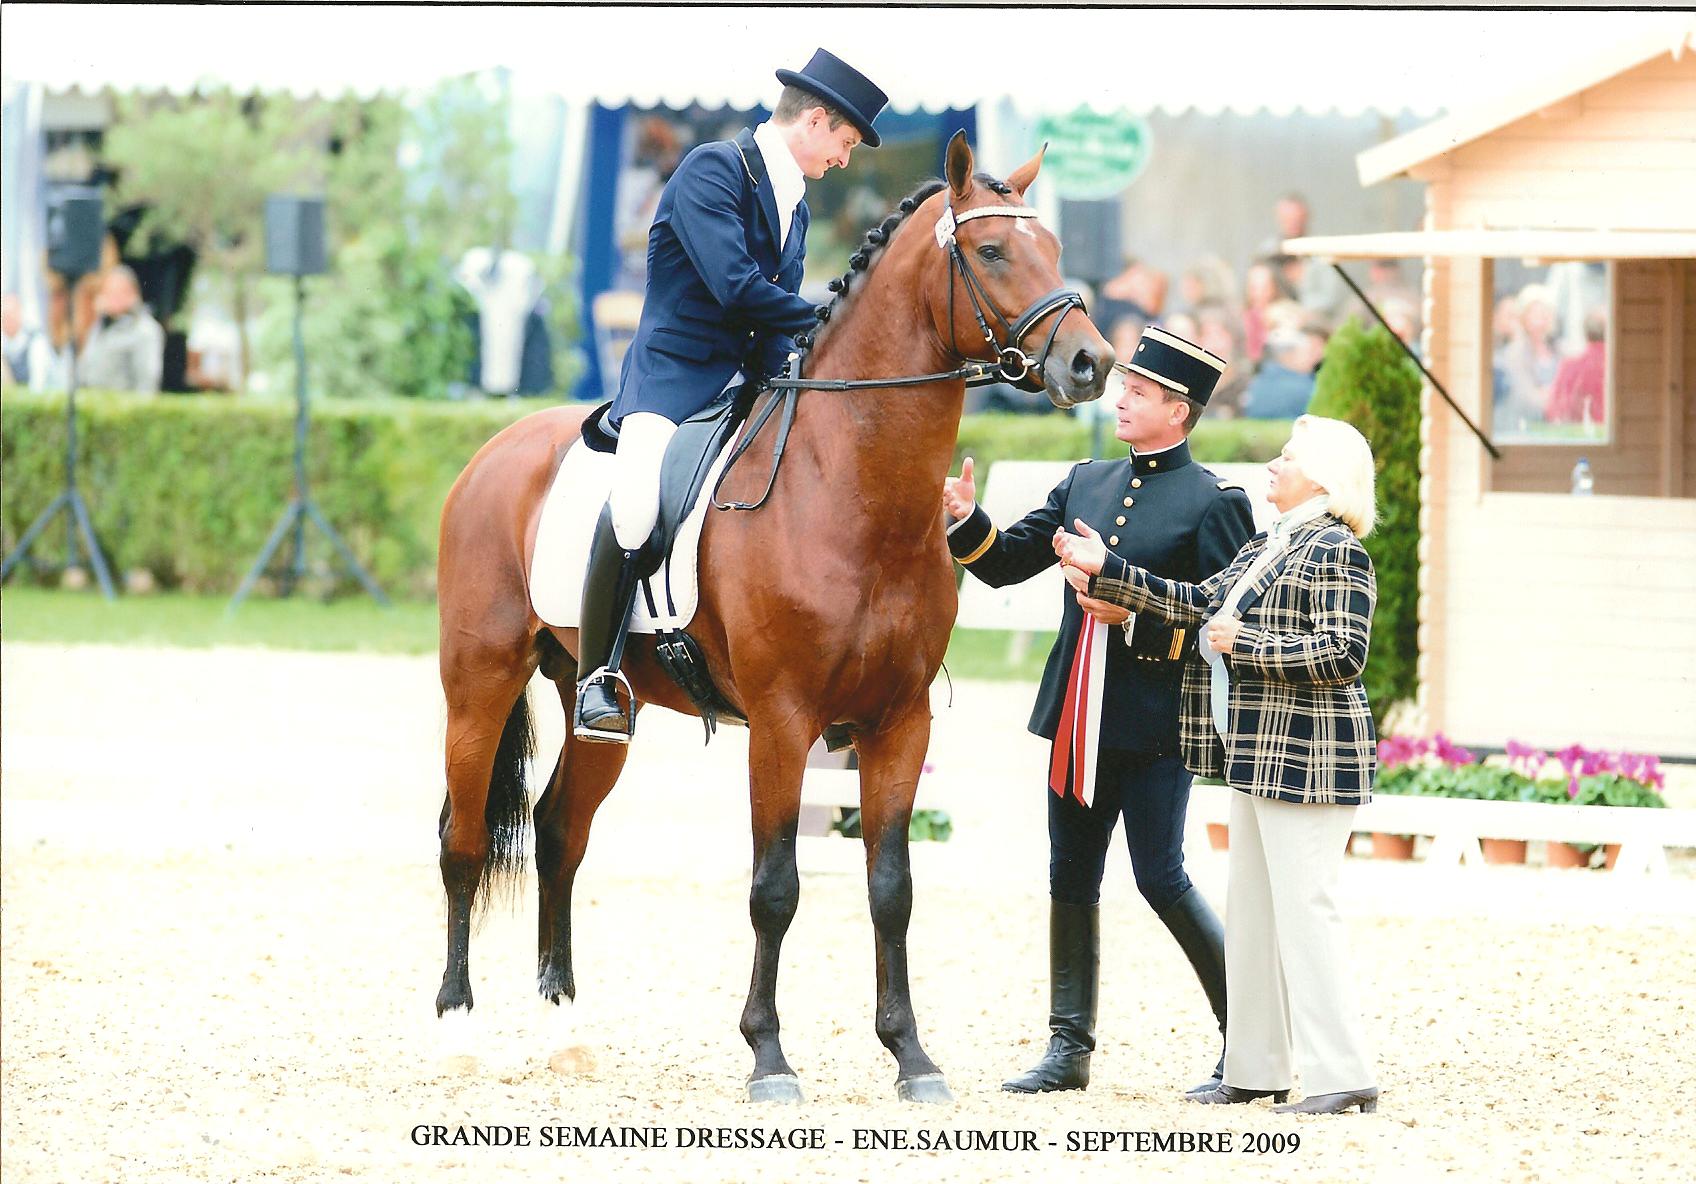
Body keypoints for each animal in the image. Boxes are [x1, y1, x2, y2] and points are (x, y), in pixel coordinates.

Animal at [430, 134, 1112, 1099]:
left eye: (1052, 247)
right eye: (990, 253)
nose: (1093, 363)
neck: (852, 487)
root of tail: (495, 449)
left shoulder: (897, 722)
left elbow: (891, 887)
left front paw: (911, 1057)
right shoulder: (784, 722)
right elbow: (776, 887)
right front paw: (768, 1055)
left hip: (594, 705)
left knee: (561, 833)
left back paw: (565, 1026)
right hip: (479, 680)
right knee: (462, 839)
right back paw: (457, 1027)